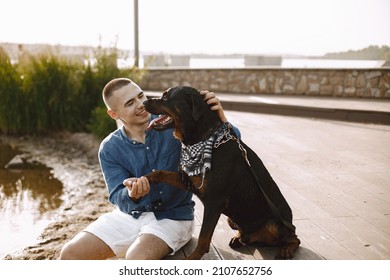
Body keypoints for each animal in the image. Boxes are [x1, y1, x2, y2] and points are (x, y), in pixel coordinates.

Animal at [145, 86, 300, 260]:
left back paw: (287, 249)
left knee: (294, 238)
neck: (203, 138)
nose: (144, 102)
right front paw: (142, 181)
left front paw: (193, 258)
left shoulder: (215, 203)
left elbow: (204, 238)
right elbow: (159, 173)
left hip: (274, 224)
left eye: (165, 97)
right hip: (232, 220)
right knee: (250, 236)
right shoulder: (190, 182)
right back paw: (239, 239)